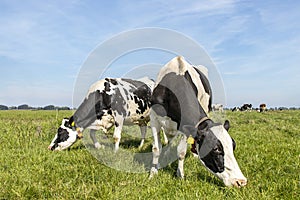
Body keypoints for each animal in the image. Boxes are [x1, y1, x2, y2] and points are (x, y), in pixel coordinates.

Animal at [149, 56, 246, 188]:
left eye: (233, 146)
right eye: (215, 149)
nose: (241, 181)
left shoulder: (185, 125)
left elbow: (181, 152)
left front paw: (180, 175)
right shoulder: (154, 118)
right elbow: (156, 149)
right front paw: (153, 173)